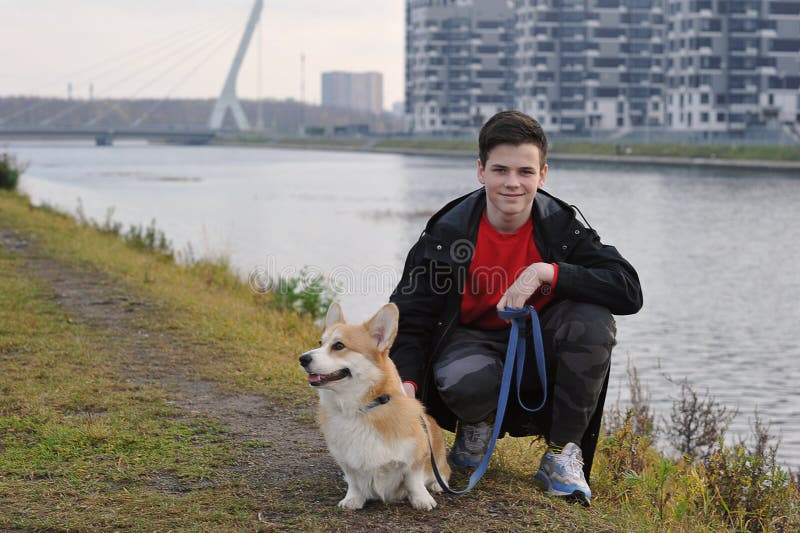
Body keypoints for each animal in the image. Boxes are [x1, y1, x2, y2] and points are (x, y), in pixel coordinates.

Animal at [300, 302, 450, 510]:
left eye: (339, 346)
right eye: (320, 342)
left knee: (442, 472)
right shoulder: (346, 460)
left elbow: (414, 480)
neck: (360, 409)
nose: (302, 358)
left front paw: (422, 499)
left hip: (439, 458)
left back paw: (437, 484)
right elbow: (354, 481)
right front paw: (352, 499)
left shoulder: (416, 455)